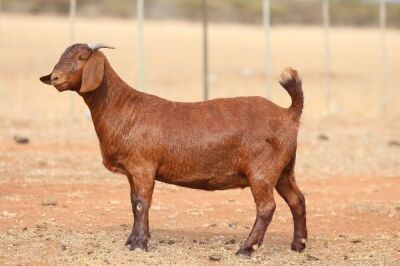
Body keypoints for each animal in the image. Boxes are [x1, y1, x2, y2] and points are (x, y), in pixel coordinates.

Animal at [40, 43, 308, 256]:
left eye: (81, 58)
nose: (55, 78)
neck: (123, 107)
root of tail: (289, 113)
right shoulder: (132, 172)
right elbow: (133, 203)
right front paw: (132, 240)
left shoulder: (143, 166)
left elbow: (141, 203)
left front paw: (139, 244)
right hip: (284, 170)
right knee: (297, 199)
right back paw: (298, 245)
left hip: (262, 171)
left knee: (266, 208)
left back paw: (245, 249)